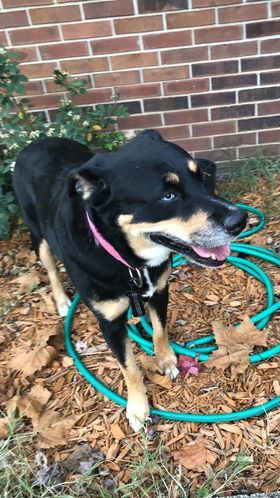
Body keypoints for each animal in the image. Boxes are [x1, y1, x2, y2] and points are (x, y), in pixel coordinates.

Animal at [13, 130, 246, 430]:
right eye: (168, 196)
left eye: (201, 178)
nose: (241, 219)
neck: (130, 260)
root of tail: (36, 142)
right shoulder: (109, 322)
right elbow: (130, 368)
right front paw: (138, 407)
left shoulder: (160, 290)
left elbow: (159, 330)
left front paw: (166, 359)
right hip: (38, 234)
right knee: (51, 266)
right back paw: (62, 300)